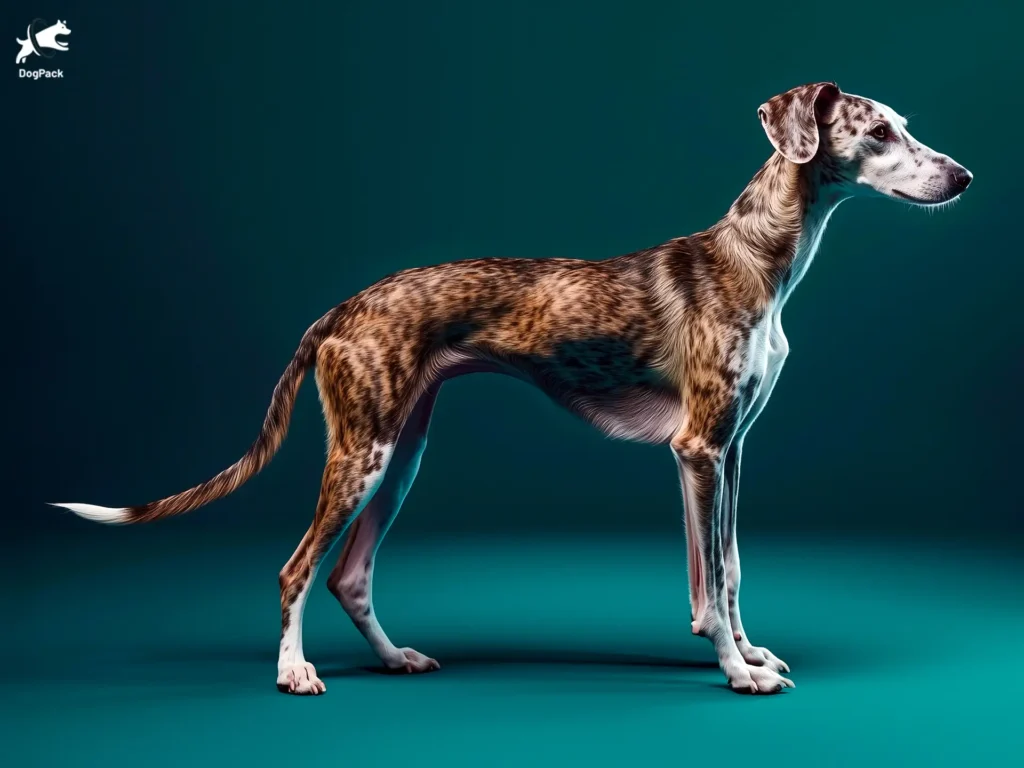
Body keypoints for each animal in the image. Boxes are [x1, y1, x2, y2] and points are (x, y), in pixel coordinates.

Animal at [51, 83, 970, 696]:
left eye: (905, 125)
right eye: (879, 130)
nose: (962, 177)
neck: (755, 259)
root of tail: (341, 307)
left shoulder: (730, 453)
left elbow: (729, 571)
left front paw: (748, 652)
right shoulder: (700, 448)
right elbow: (713, 579)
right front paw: (738, 673)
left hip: (404, 451)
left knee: (349, 575)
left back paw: (394, 659)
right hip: (363, 454)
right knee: (296, 568)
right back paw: (295, 671)